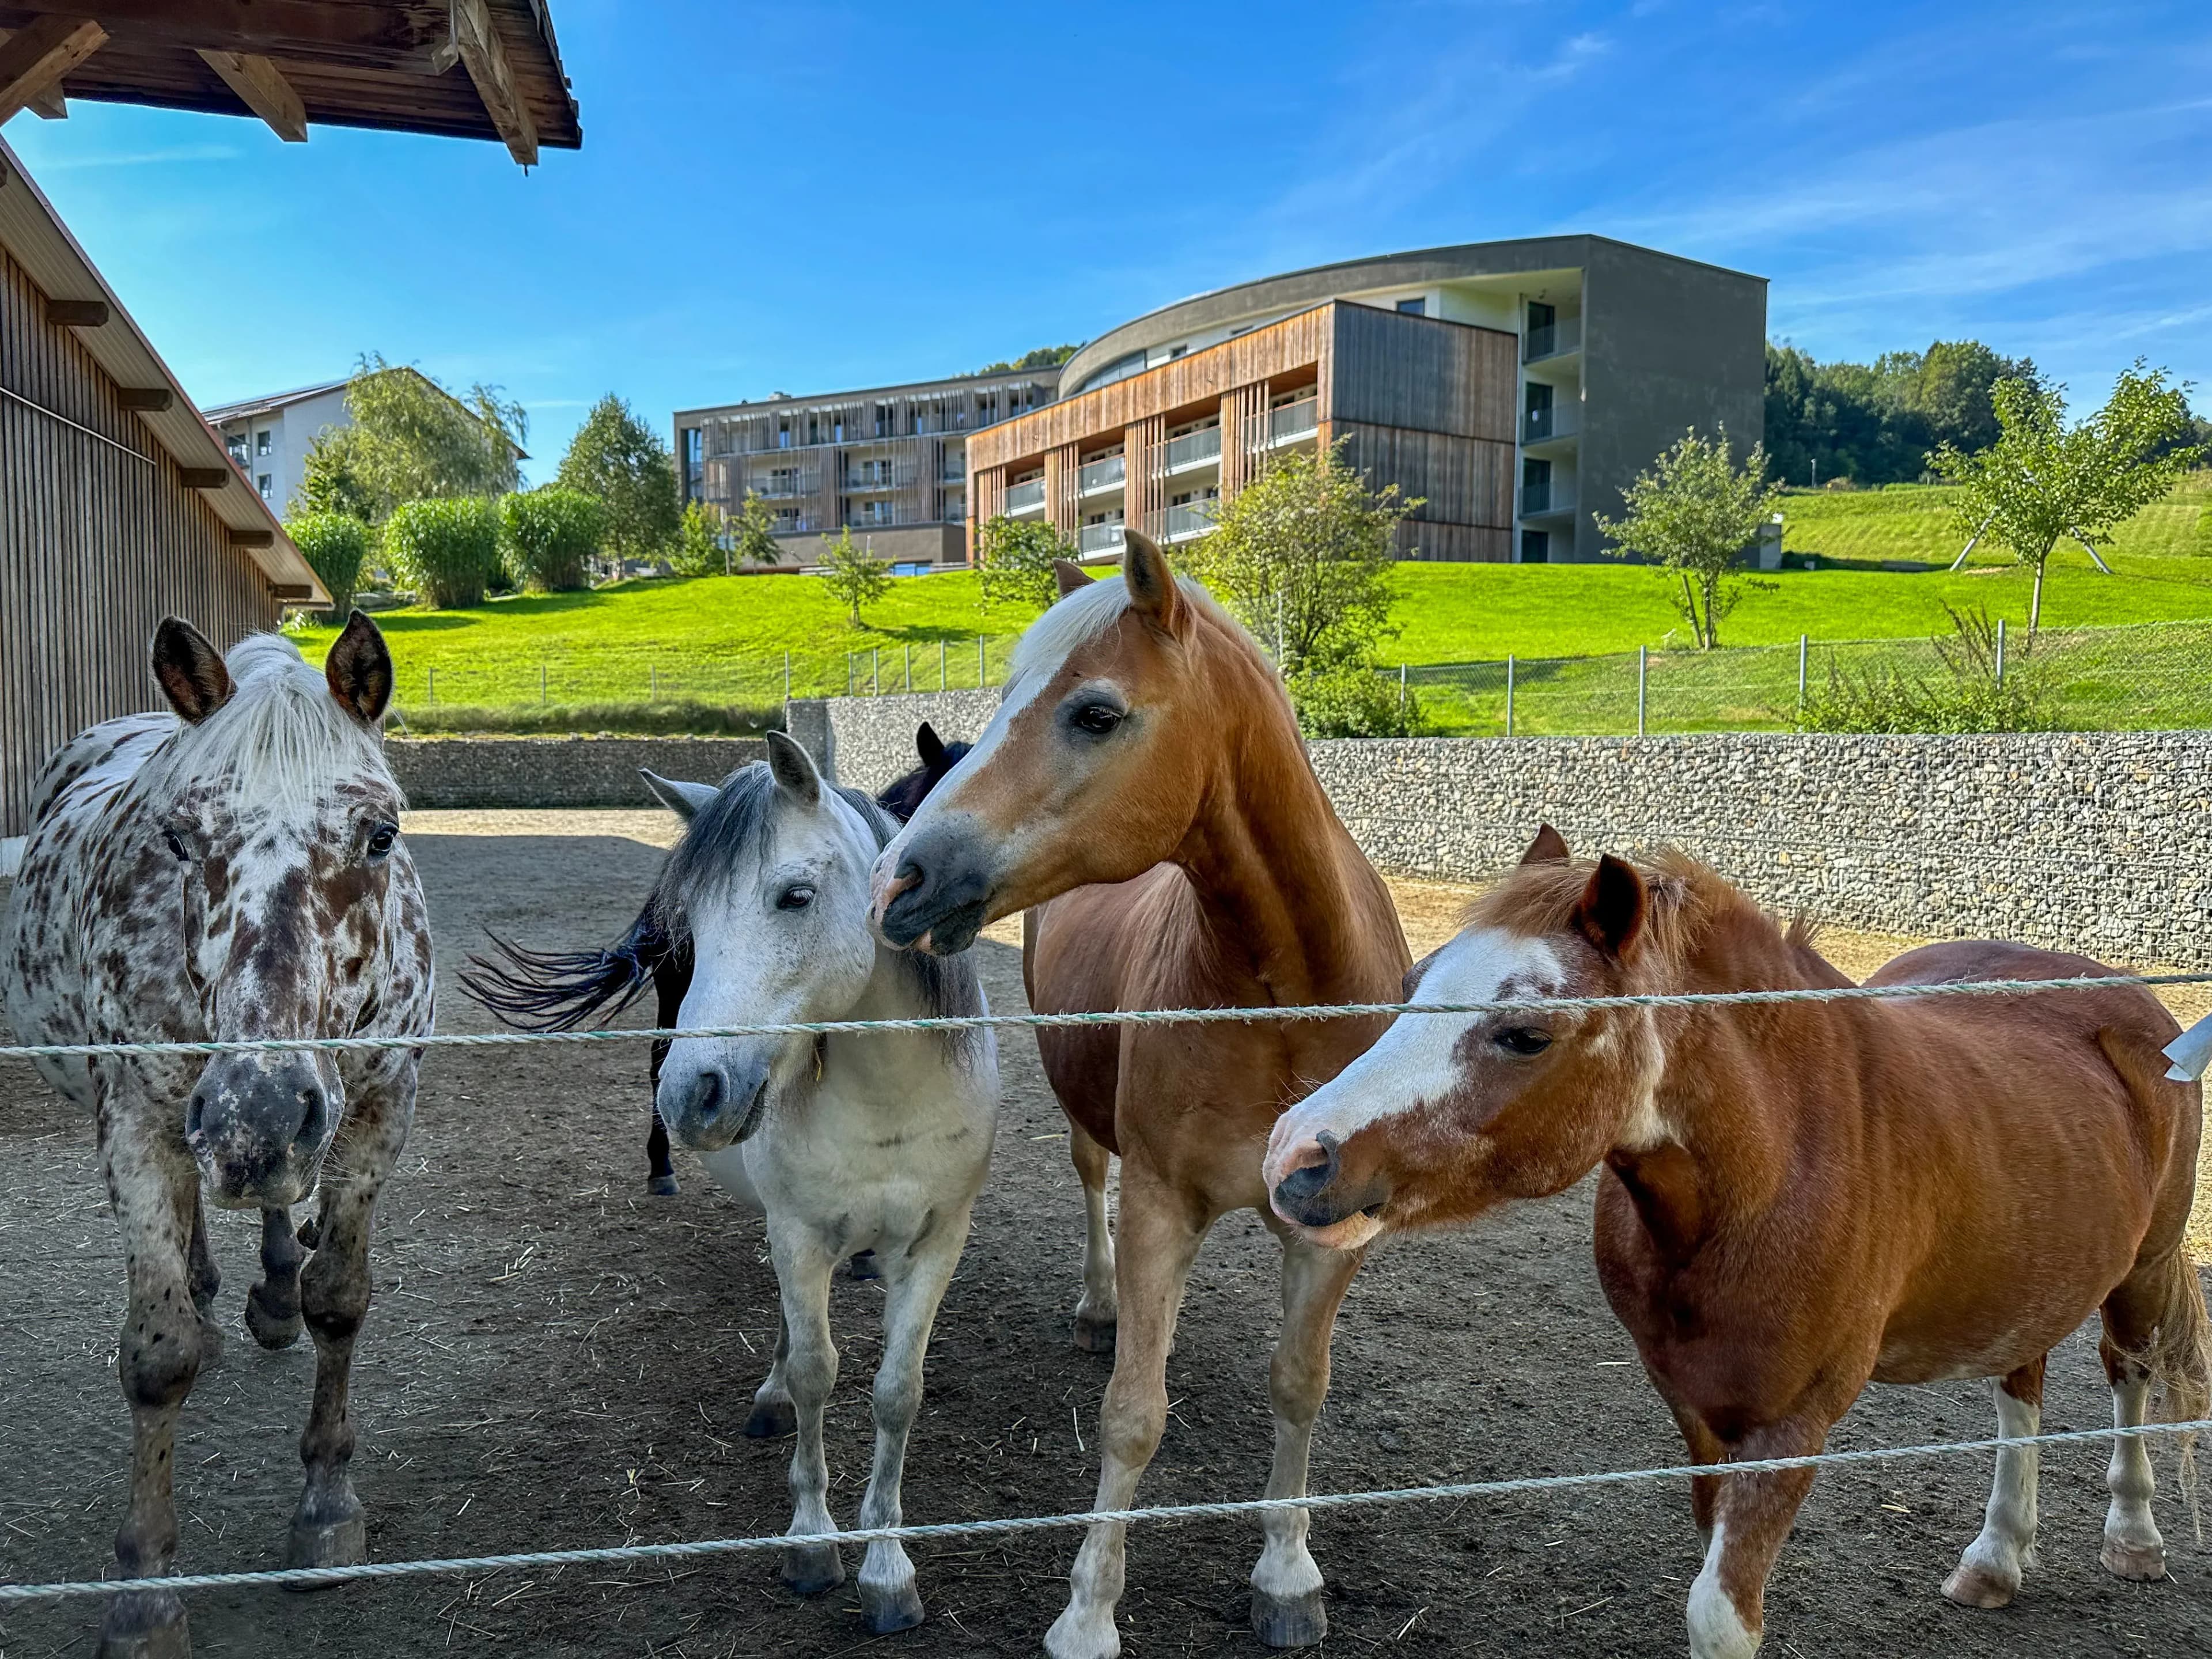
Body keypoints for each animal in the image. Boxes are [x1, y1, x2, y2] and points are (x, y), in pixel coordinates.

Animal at [1, 615, 433, 1659]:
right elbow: (157, 1362)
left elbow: (338, 1303)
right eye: (179, 837)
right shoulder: (138, 1127)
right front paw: (146, 1593)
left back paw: (269, 1291)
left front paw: (326, 1510)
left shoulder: (375, 1115)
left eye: (381, 832)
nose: (260, 1113)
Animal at [462, 732, 997, 1633]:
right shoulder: (800, 1232)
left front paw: (888, 1567)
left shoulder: (935, 1242)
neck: (891, 1097)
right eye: (694, 924)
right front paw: (812, 1543)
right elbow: (819, 1374)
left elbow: (897, 1391)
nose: (693, 1095)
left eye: (795, 896)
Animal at [869, 533, 1410, 1658]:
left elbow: (1299, 1387)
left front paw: (1288, 1574)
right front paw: (1087, 1615)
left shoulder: (1330, 1231)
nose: (901, 880)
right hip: (1084, 1114)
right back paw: (1098, 1304)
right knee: (1092, 1186)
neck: (1285, 995)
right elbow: (1132, 1415)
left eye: (1095, 713)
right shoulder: (1163, 1202)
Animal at [1262, 826, 2212, 1659]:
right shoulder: (1701, 1416)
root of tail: (2128, 994)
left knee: (2129, 1374)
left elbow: (1721, 1619)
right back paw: (1996, 1558)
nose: (1294, 1157)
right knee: (2022, 1387)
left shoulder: (1789, 1430)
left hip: (2144, 1270)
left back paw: (2135, 1536)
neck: (1774, 1171)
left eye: (1526, 1035)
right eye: (1412, 985)